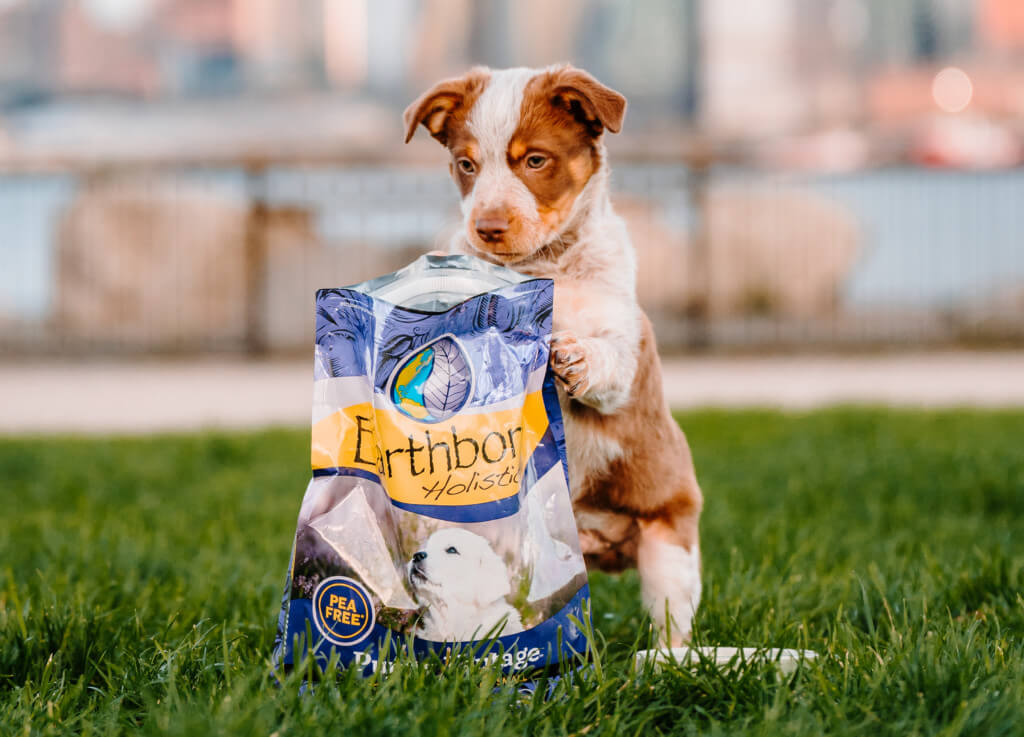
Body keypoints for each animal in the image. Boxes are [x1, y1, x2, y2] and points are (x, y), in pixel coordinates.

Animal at [401, 67, 704, 646]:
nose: (487, 228)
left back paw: (670, 657)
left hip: (669, 545)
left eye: (536, 161)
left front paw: (575, 358)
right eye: (466, 165)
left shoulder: (623, 341)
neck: (546, 268)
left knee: (672, 618)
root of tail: (600, 541)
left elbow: (607, 358)